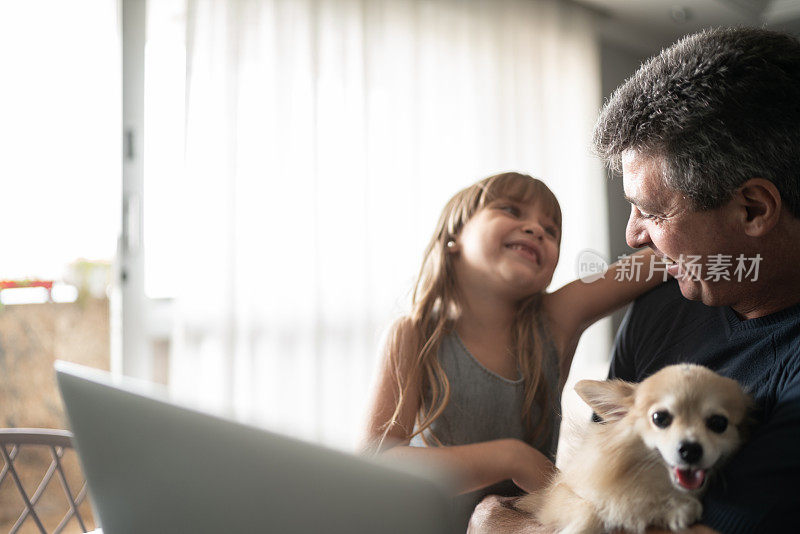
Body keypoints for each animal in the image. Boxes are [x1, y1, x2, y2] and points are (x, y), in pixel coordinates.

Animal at [516, 366, 752, 532]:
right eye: (659, 418)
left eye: (719, 424)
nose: (690, 449)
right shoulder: (559, 495)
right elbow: (589, 509)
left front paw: (678, 509)